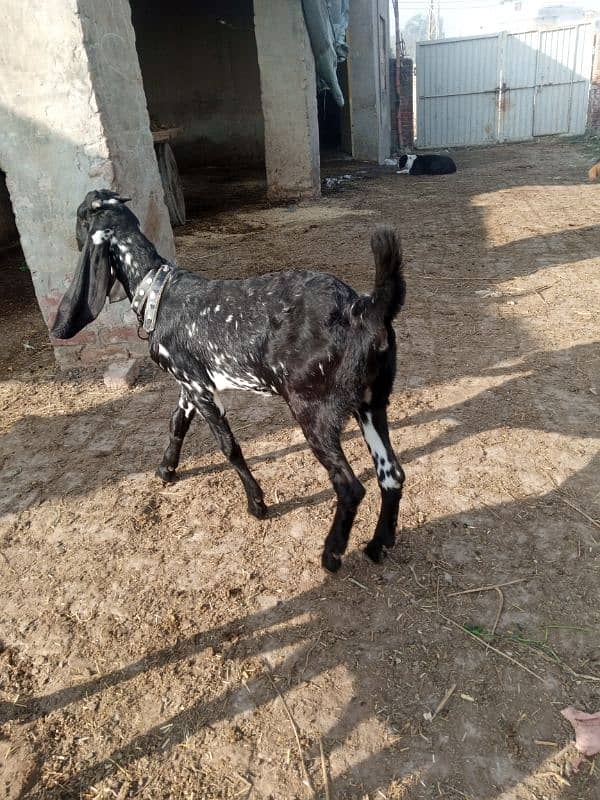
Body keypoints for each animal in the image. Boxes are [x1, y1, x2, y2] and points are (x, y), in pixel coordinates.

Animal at [52, 191, 408, 572]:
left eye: (79, 217)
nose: (71, 239)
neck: (158, 291)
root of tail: (363, 309)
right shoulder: (190, 384)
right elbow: (176, 423)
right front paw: (166, 469)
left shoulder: (201, 390)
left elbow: (229, 447)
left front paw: (257, 504)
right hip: (370, 402)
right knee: (391, 474)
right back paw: (379, 545)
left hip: (314, 410)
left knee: (350, 486)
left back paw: (332, 554)